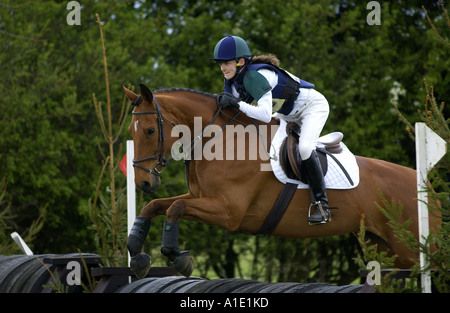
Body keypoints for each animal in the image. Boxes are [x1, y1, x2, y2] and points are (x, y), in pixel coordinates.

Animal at [122, 83, 440, 278]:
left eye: (150, 130)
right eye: (131, 131)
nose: (144, 184)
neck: (219, 139)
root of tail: (426, 189)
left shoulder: (228, 211)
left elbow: (174, 209)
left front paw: (177, 257)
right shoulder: (200, 198)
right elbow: (155, 207)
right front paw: (137, 255)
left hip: (412, 247)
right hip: (385, 248)